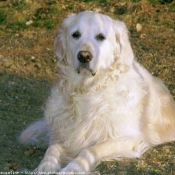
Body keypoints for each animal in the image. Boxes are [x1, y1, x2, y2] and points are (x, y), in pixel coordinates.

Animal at [19, 10, 175, 174]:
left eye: (101, 37)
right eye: (75, 34)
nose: (84, 56)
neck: (86, 90)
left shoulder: (128, 138)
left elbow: (89, 150)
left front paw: (74, 167)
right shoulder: (62, 133)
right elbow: (52, 149)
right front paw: (45, 166)